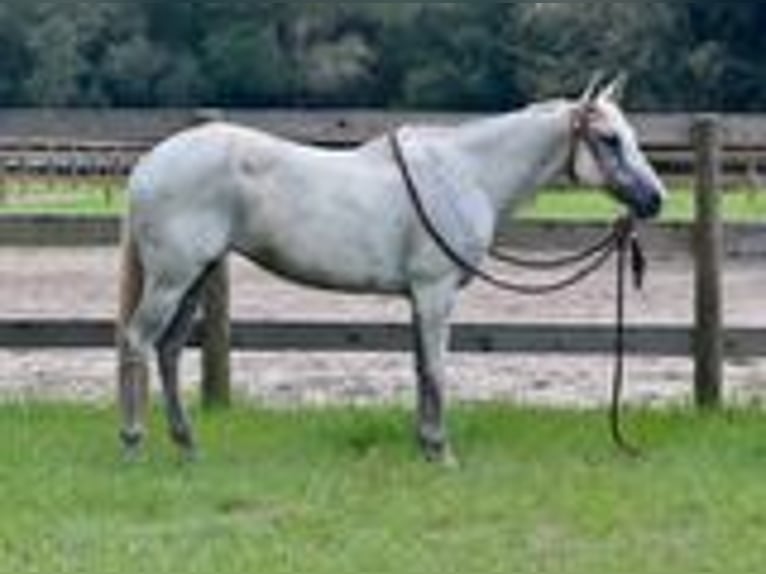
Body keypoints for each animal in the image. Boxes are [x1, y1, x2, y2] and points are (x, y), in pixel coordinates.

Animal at [116, 76, 666, 464]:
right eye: (608, 139)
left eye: (631, 135)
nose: (655, 200)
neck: (465, 173)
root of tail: (149, 164)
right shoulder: (436, 292)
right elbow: (437, 368)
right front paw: (443, 452)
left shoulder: (419, 298)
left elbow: (421, 368)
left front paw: (425, 446)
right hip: (172, 278)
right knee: (138, 341)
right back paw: (133, 442)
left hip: (196, 276)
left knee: (167, 350)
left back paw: (188, 446)